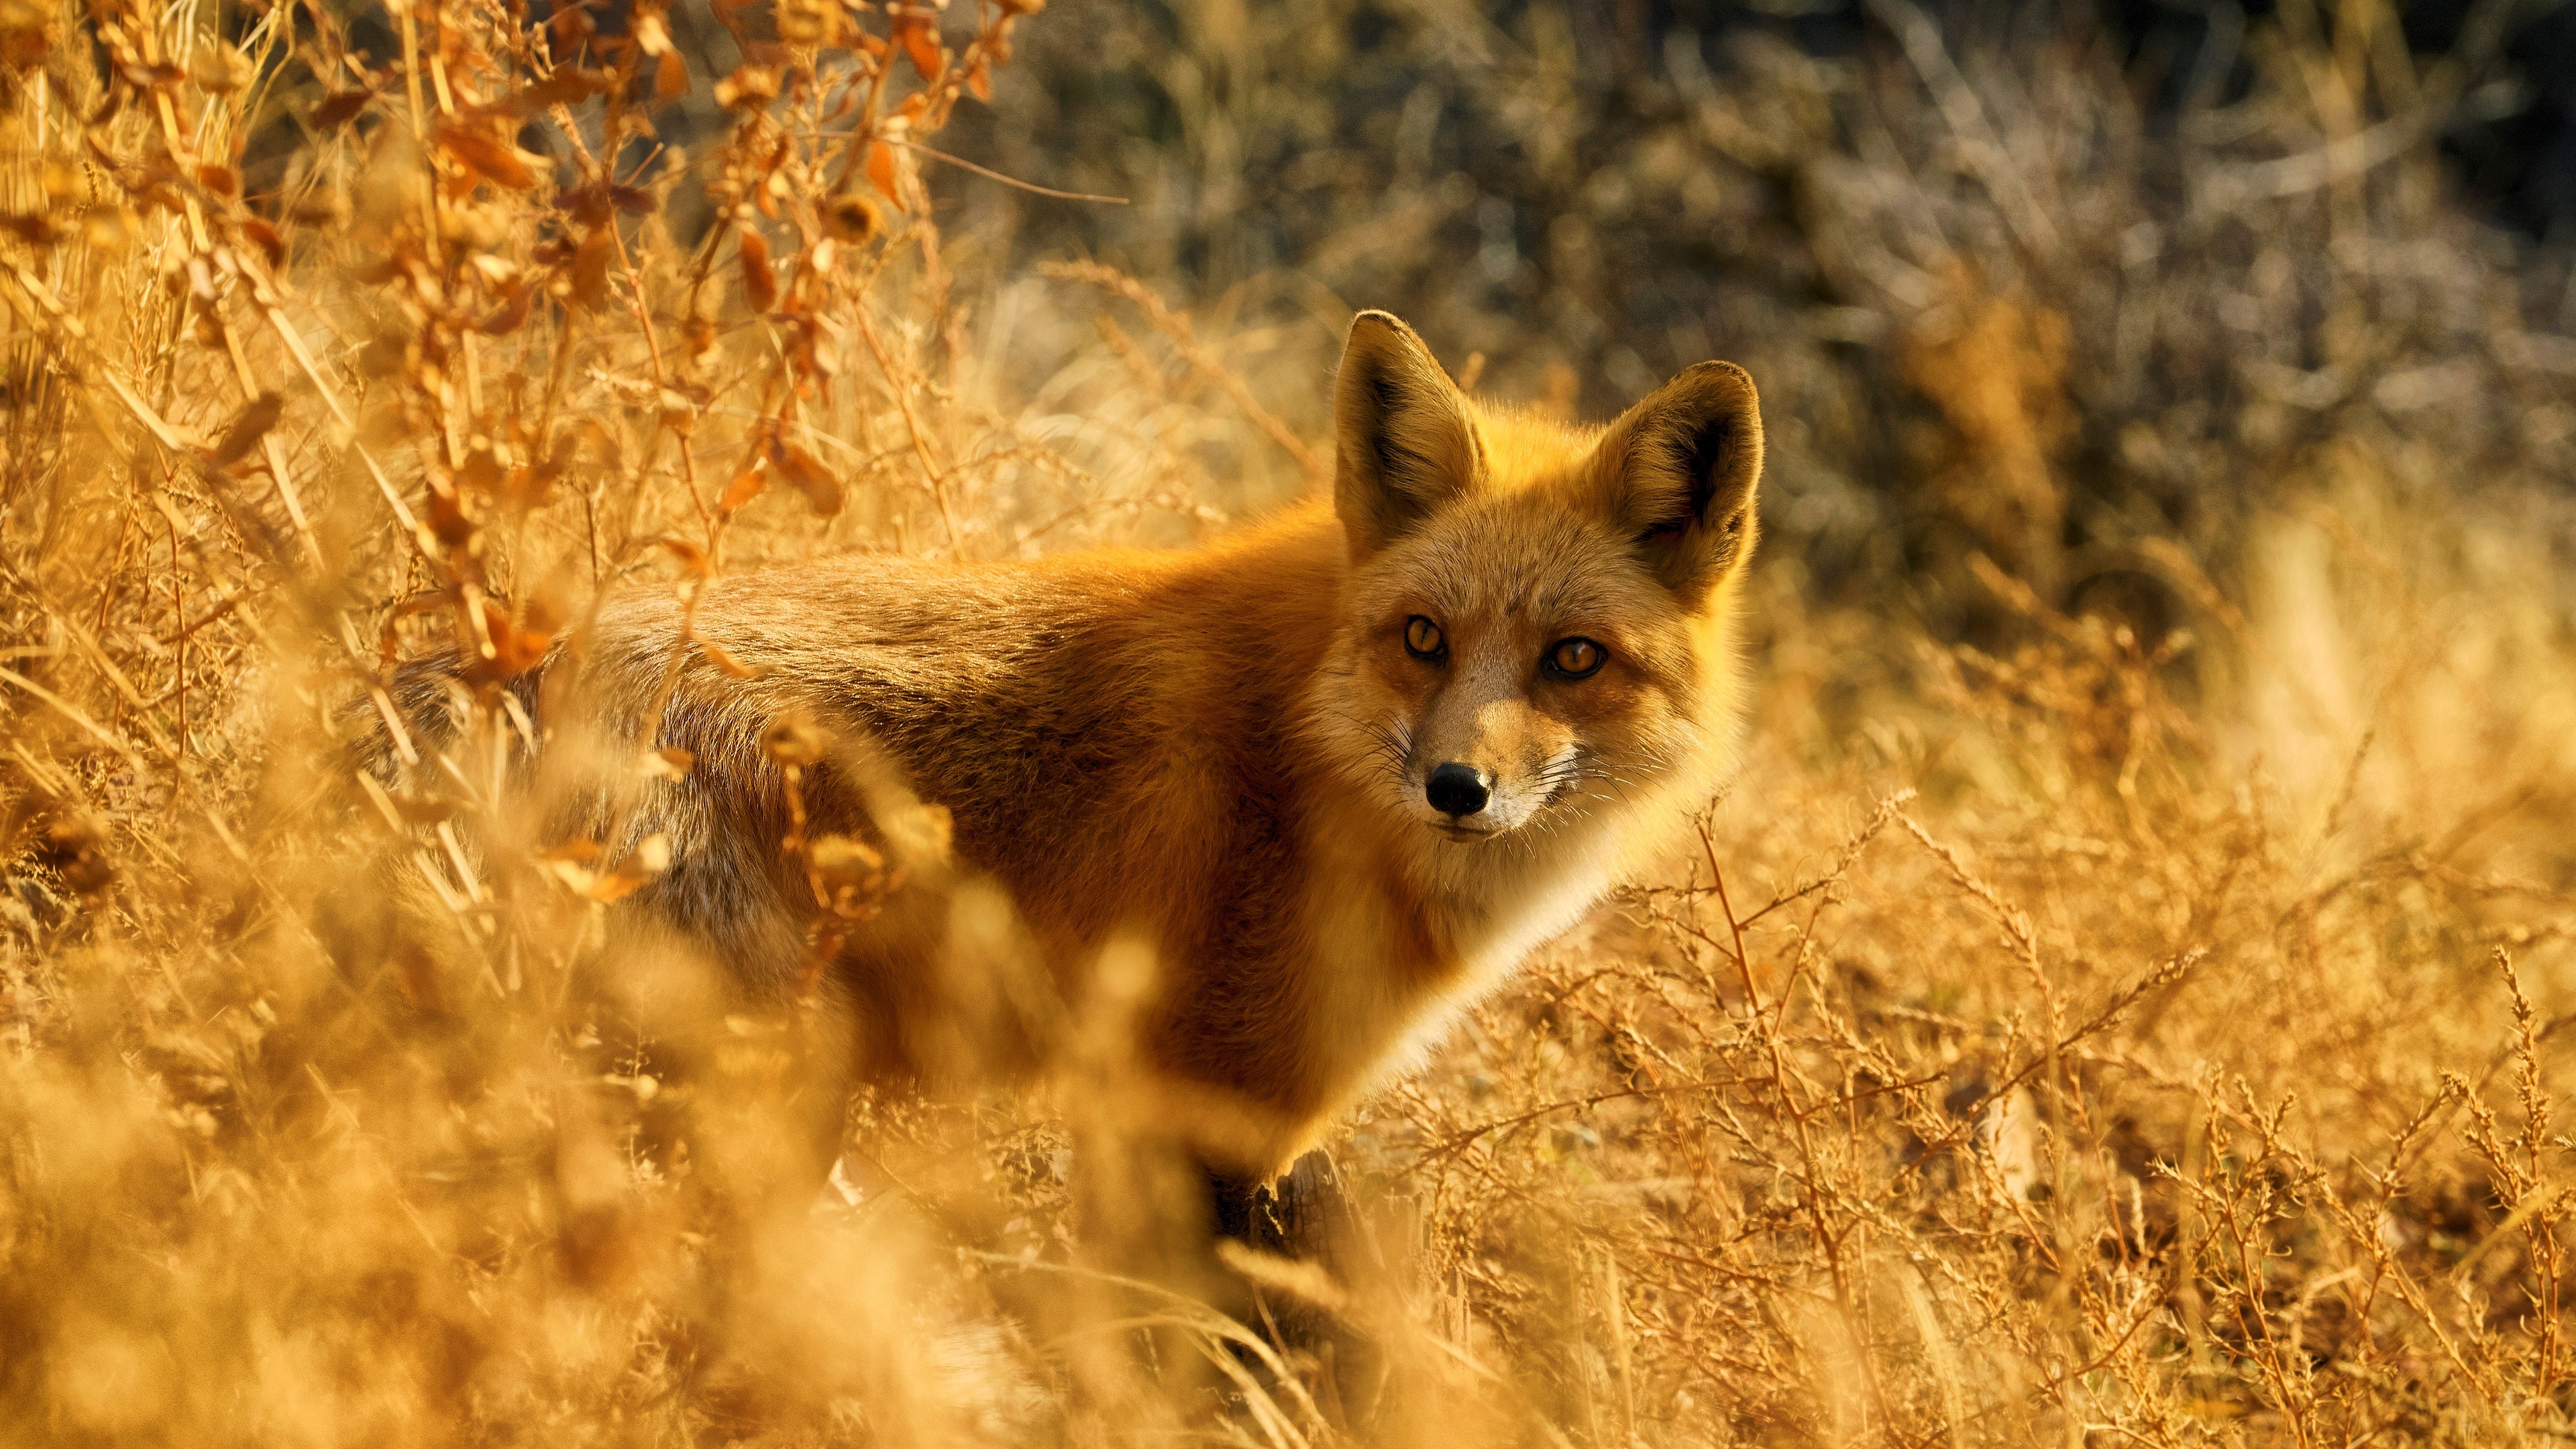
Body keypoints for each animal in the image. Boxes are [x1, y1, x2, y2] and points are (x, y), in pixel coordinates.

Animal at [380, 311, 1764, 1239]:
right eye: (1425, 638)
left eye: (1573, 658)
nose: (1459, 789)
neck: (1308, 747)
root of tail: (492, 667)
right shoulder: (1198, 1119)